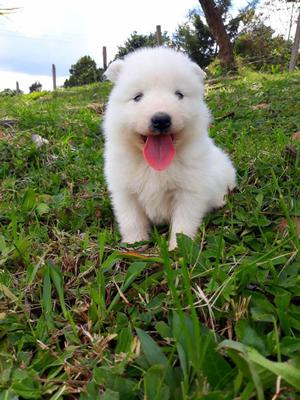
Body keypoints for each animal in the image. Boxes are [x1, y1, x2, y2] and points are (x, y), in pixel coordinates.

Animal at [104, 45, 236, 248]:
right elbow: (132, 220)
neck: (153, 166)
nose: (161, 119)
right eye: (137, 97)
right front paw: (135, 244)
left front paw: (178, 249)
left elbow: (183, 223)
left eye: (179, 94)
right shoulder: (125, 193)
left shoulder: (189, 192)